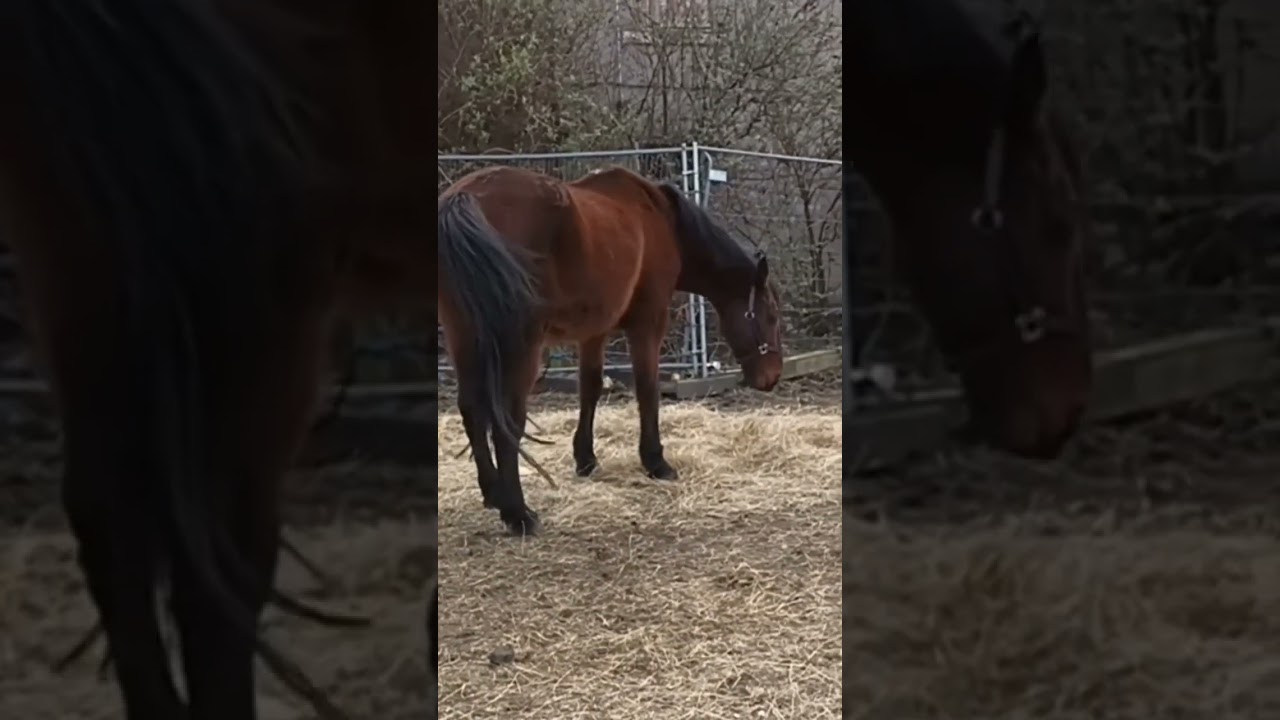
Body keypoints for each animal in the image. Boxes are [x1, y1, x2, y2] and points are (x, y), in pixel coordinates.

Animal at [437, 165, 785, 536]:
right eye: (771, 315)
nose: (772, 376)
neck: (661, 218)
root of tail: (465, 197)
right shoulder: (648, 323)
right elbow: (647, 389)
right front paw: (656, 461)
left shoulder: (595, 331)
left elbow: (590, 388)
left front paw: (585, 458)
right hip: (521, 346)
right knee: (508, 423)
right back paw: (518, 514)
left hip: (465, 338)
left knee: (472, 410)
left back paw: (493, 493)